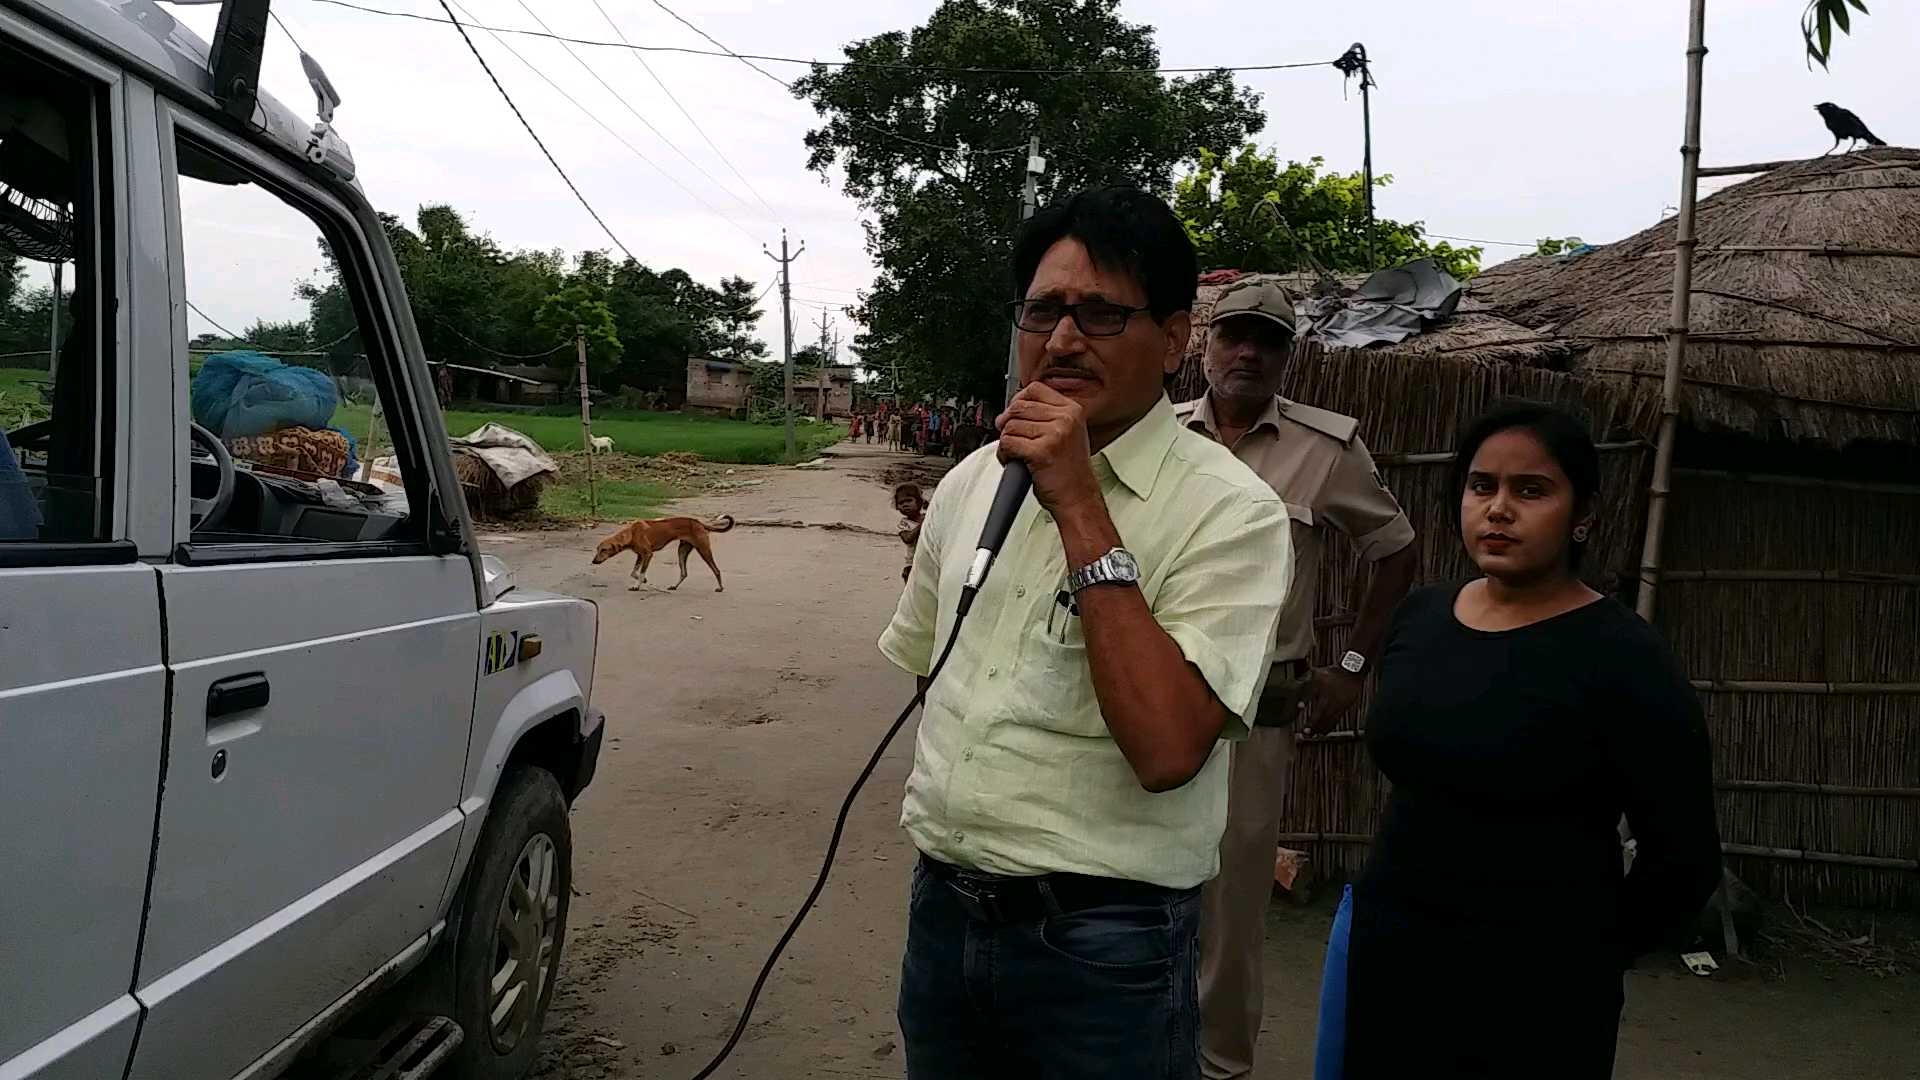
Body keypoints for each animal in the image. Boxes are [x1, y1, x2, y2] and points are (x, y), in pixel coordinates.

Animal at [587, 511, 729, 588]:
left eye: (603, 550)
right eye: (597, 549)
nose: (594, 561)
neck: (631, 533)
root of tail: (699, 523)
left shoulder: (648, 554)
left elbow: (641, 572)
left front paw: (637, 586)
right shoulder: (640, 555)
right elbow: (633, 572)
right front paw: (642, 580)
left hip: (703, 550)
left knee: (716, 570)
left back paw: (720, 588)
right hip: (682, 551)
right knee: (684, 573)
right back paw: (674, 586)